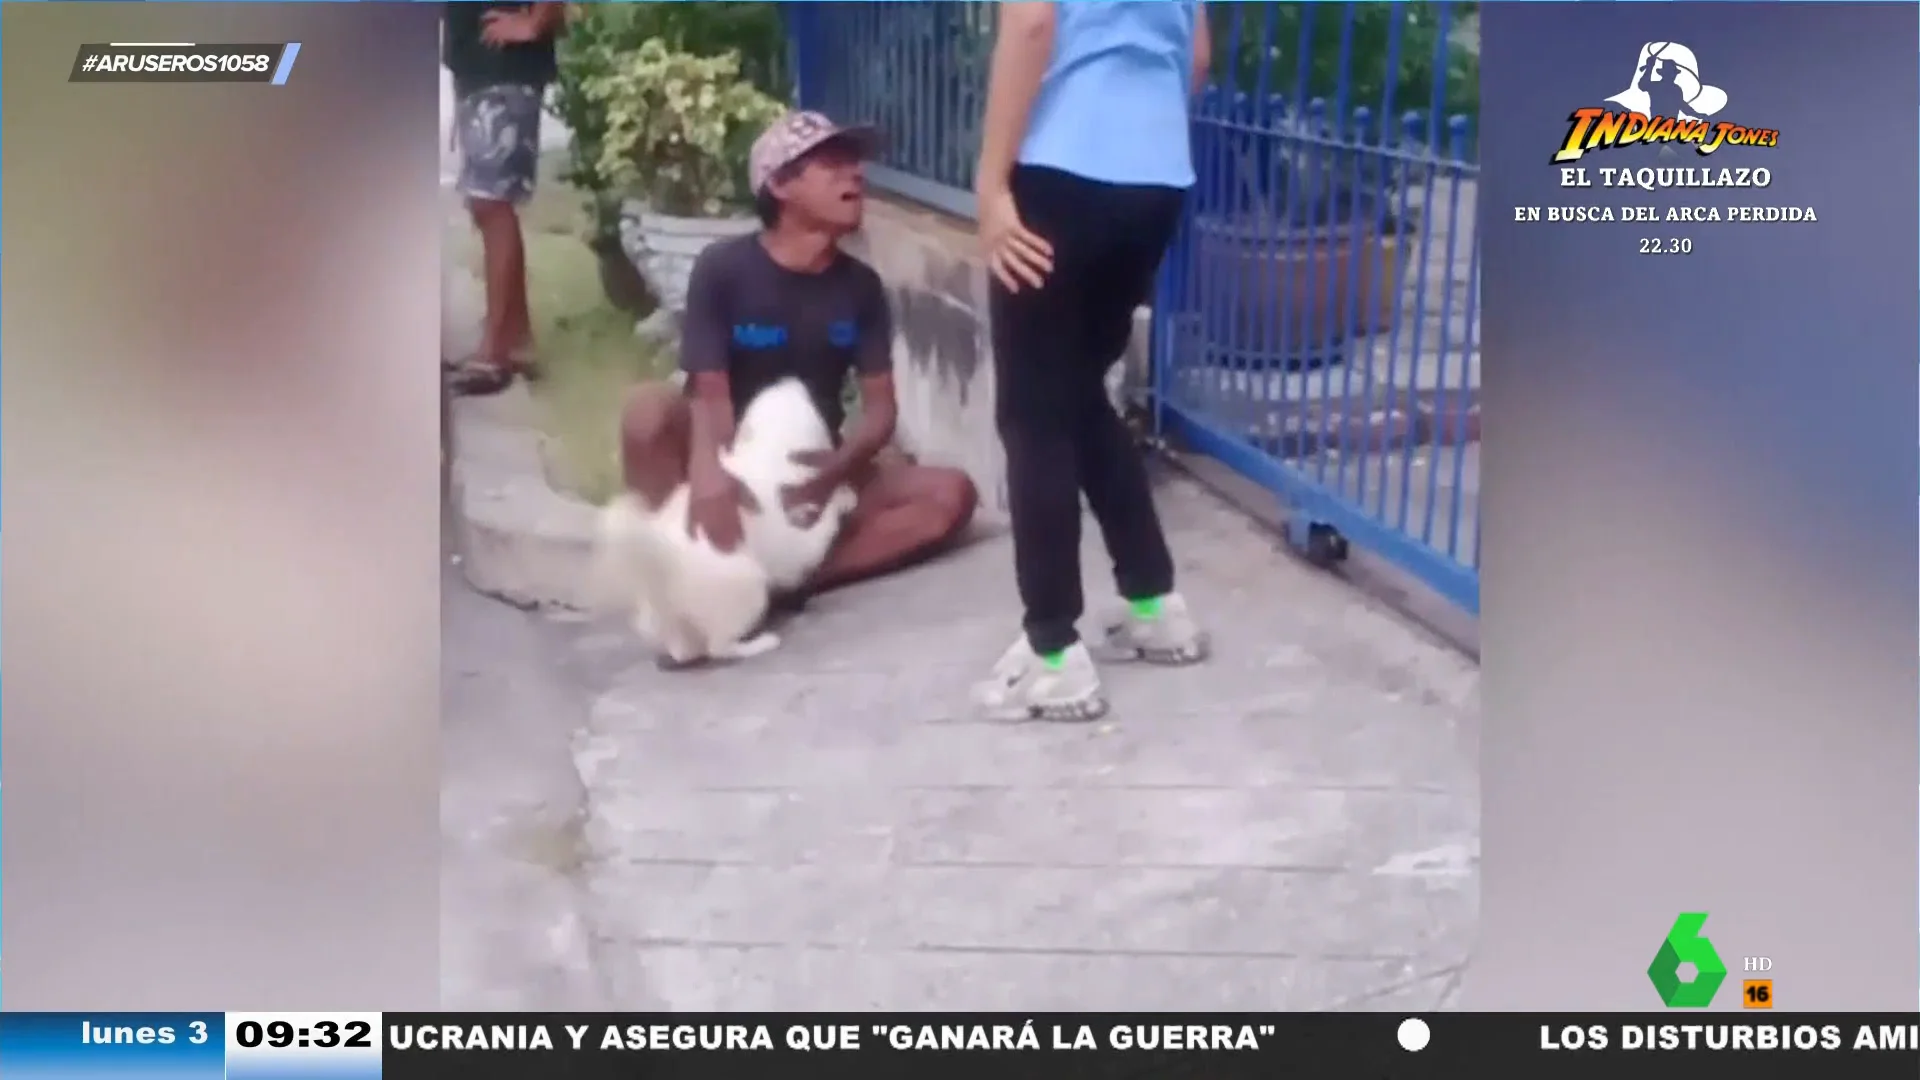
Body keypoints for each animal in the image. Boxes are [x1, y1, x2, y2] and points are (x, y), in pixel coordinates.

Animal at [587, 378, 852, 664]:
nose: (793, 381)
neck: (769, 449)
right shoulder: (794, 548)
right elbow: (822, 525)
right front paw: (842, 498)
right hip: (749, 587)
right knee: (719, 647)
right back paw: (761, 643)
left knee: (685, 650)